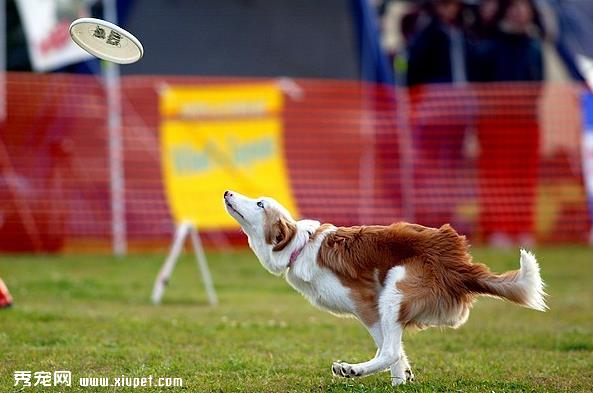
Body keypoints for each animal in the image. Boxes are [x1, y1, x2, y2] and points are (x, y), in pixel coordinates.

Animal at [222, 191, 544, 384]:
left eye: (260, 204)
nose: (227, 192)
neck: (299, 247)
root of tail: (460, 263)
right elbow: (399, 353)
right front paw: (403, 381)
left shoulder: (366, 304)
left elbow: (391, 350)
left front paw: (395, 378)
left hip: (395, 287)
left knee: (387, 350)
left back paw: (351, 370)